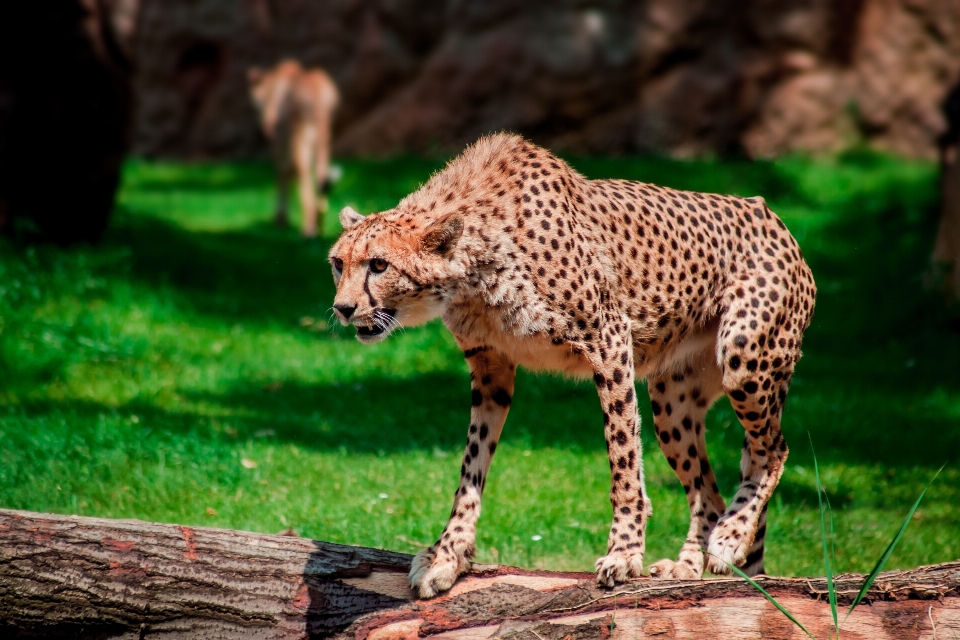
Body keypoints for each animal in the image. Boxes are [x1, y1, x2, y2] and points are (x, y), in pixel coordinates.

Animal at [330, 132, 816, 596]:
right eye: (338, 263)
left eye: (379, 265)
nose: (342, 308)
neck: (474, 268)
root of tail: (766, 212)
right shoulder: (491, 369)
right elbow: (471, 466)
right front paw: (447, 554)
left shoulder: (610, 341)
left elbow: (623, 458)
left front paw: (624, 553)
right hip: (673, 403)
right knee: (709, 493)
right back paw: (690, 564)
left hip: (744, 356)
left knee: (772, 450)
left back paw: (731, 537)